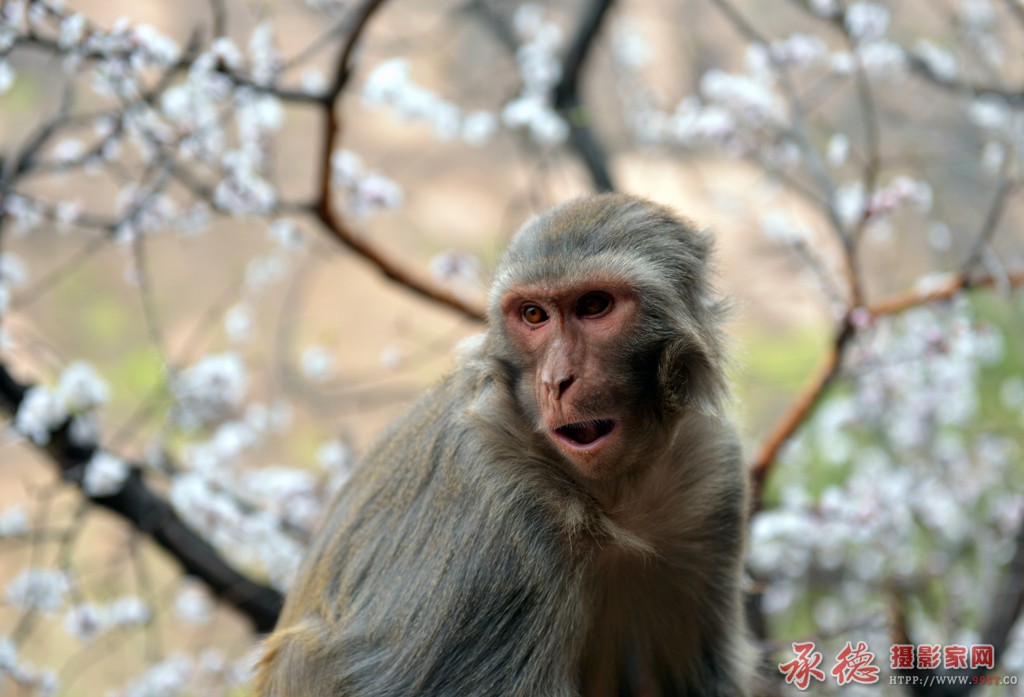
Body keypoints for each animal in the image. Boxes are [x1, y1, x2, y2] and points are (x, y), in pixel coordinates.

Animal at [254, 193, 755, 696]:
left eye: (594, 305)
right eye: (534, 315)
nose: (556, 381)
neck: (617, 491)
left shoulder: (715, 480)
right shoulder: (505, 513)